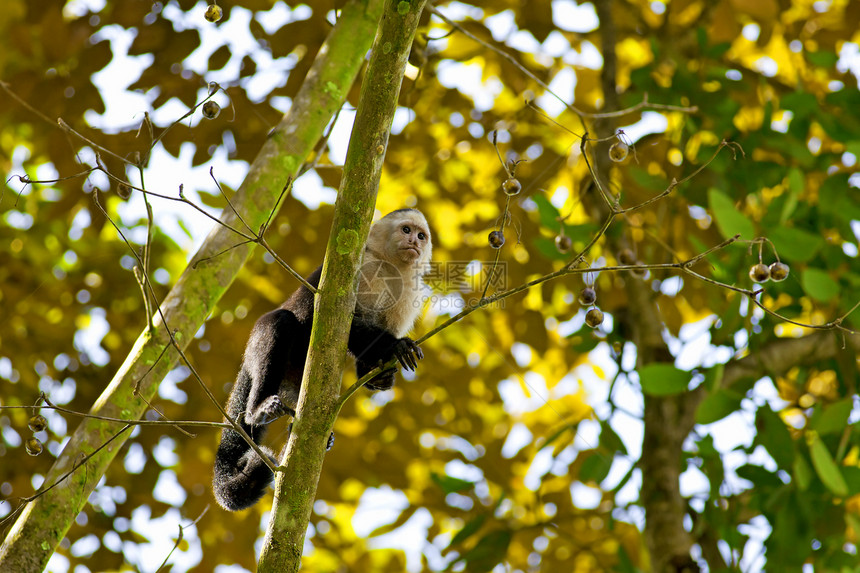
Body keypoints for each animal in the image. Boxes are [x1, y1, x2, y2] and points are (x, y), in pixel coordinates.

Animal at [212, 209, 434, 510]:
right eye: (406, 230)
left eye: (421, 235)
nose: (415, 242)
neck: (390, 267)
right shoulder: (361, 268)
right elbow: (346, 323)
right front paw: (397, 345)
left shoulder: (410, 290)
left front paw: (379, 376)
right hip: (259, 347)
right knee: (280, 323)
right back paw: (258, 409)